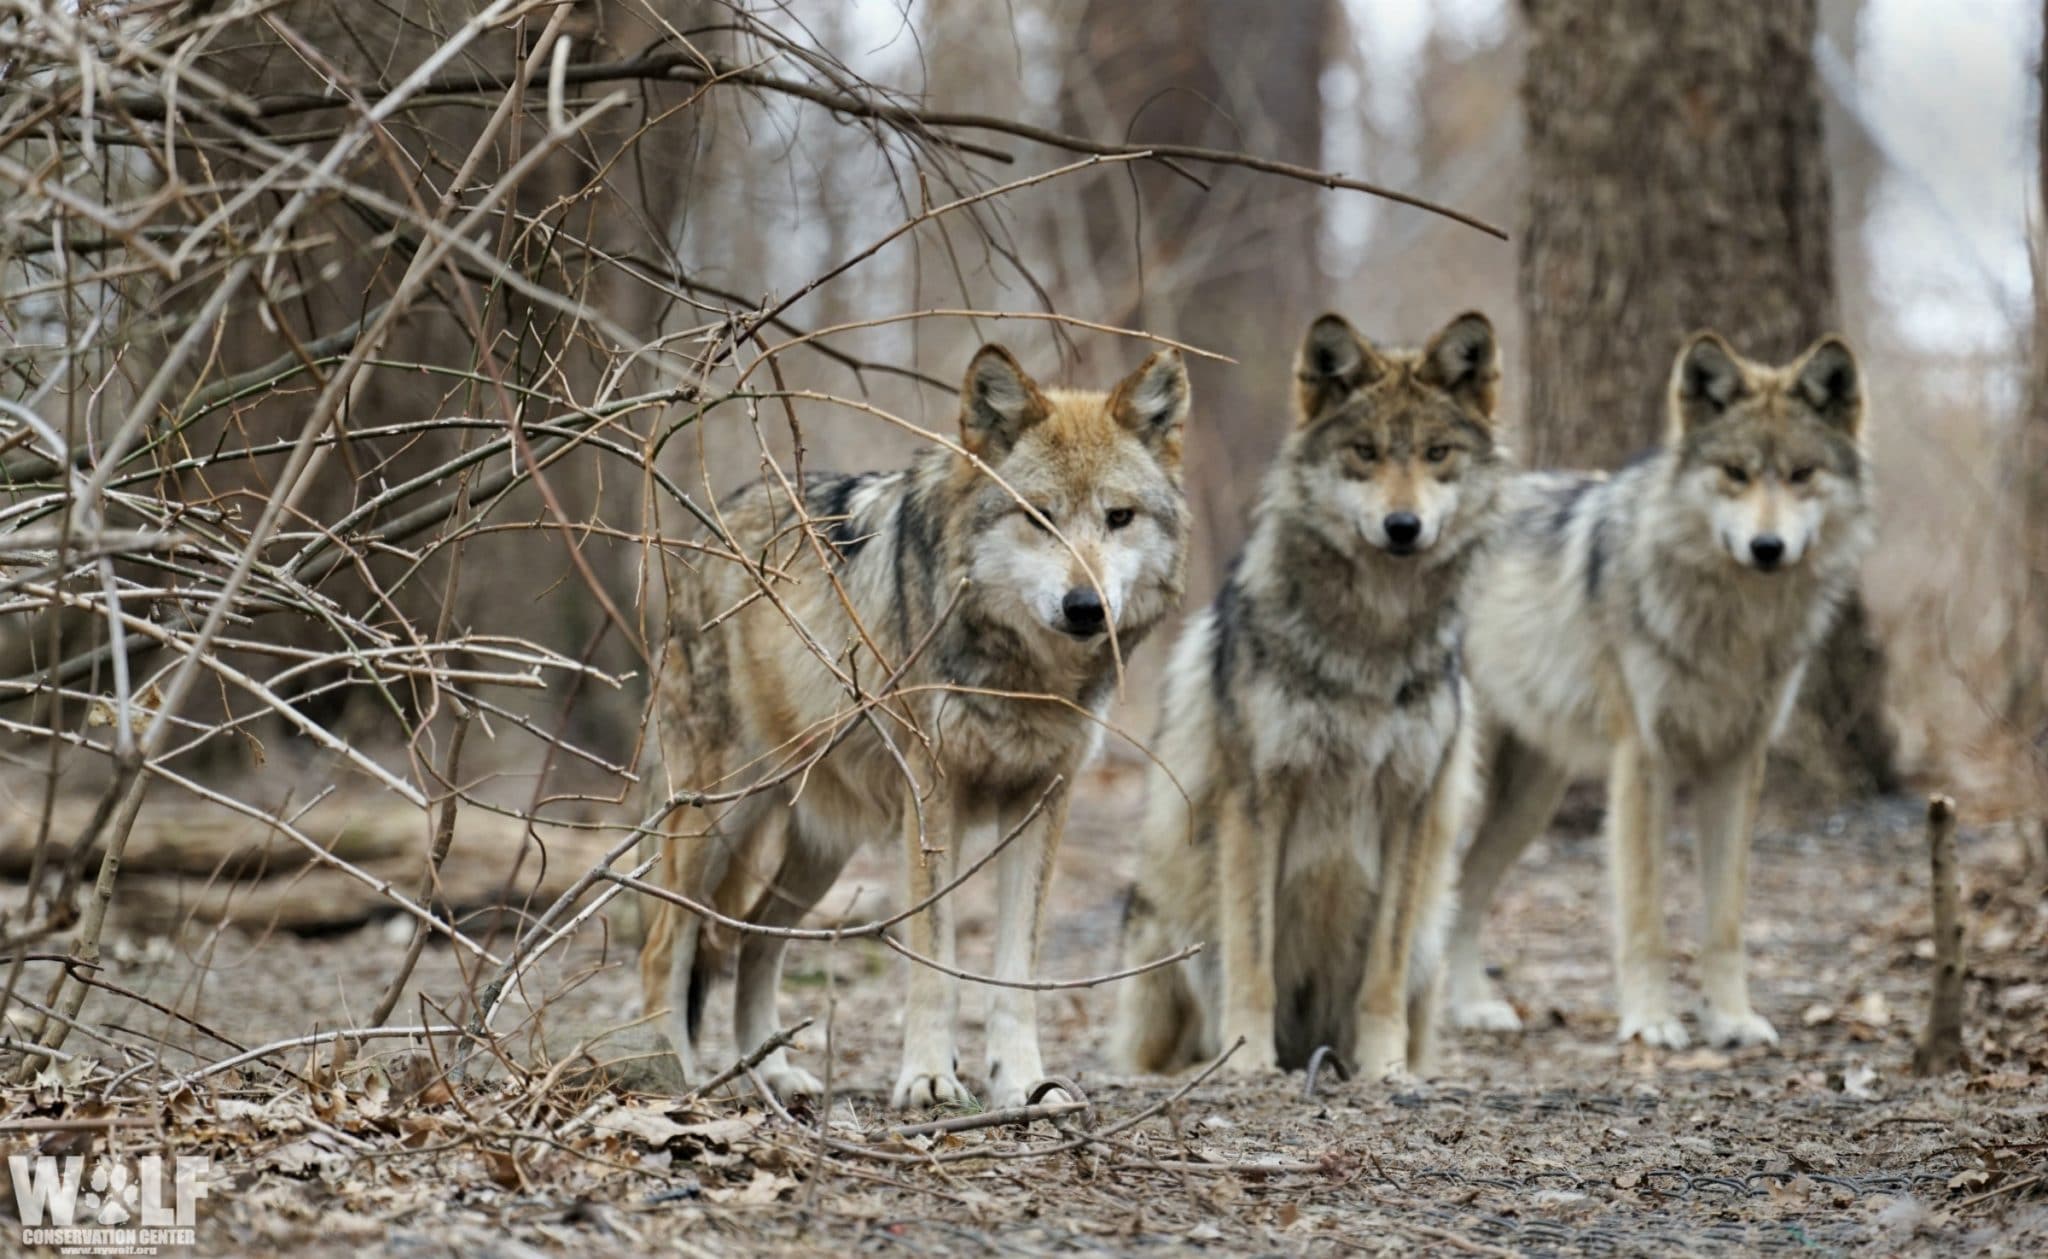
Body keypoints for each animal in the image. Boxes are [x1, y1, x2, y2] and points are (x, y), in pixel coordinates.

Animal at [634, 339, 1187, 1105]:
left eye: (1119, 517)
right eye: (1037, 516)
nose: (1086, 607)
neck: (1027, 677)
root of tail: (702, 534)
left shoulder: (1045, 800)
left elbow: (1017, 973)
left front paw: (1024, 1083)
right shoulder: (934, 797)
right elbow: (935, 959)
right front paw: (928, 1076)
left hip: (821, 849)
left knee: (754, 937)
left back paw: (771, 1069)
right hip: (718, 817)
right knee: (668, 944)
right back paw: (676, 1074)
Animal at [1114, 311, 1515, 1080]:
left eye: (1436, 453)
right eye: (1364, 452)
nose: (1402, 527)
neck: (1370, 641)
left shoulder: (1410, 803)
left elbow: (1382, 971)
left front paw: (1385, 1068)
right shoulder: (1256, 798)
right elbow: (1253, 954)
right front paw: (1247, 1059)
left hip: (1432, 937)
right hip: (1163, 928)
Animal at [1441, 329, 1875, 1048]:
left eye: (1800, 474)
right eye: (1735, 473)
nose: (1767, 546)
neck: (1735, 623)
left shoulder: (1737, 762)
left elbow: (1724, 919)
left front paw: (1732, 1020)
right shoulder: (1643, 759)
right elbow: (1645, 916)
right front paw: (1650, 1021)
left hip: (1529, 798)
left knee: (1464, 891)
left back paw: (1473, 1006)